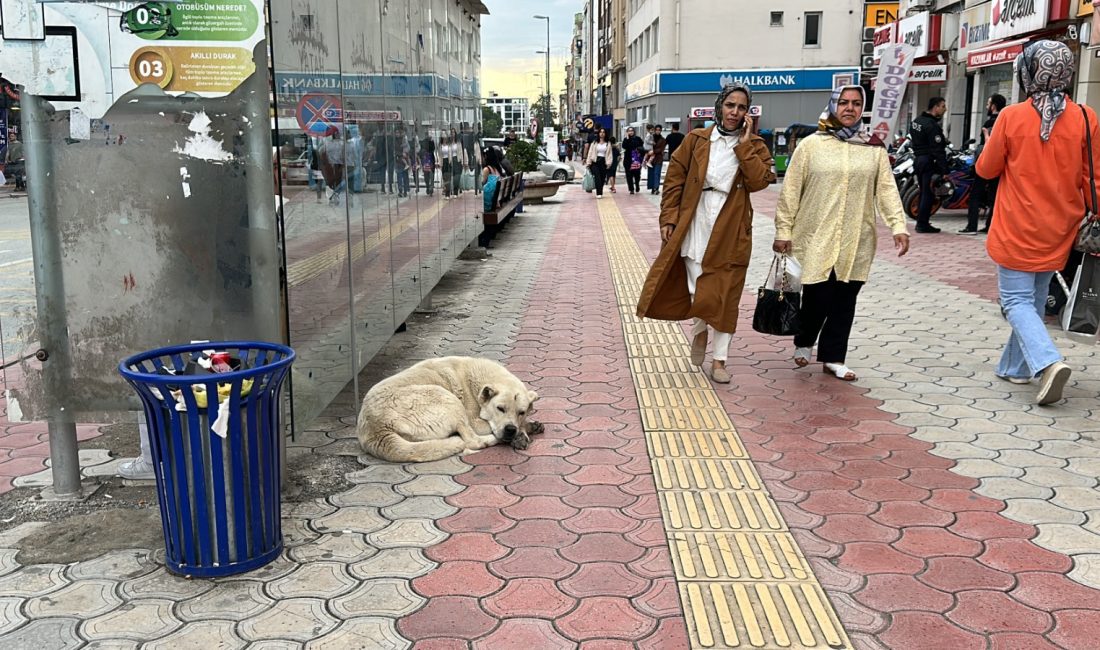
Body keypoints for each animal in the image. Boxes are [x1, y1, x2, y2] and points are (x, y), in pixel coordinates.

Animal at [358, 356, 543, 461]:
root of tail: (377, 431)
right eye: (500, 408)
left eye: (521, 412)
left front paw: (526, 427)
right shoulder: (475, 421)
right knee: (471, 441)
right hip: (446, 398)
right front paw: (523, 431)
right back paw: (494, 439)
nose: (510, 430)